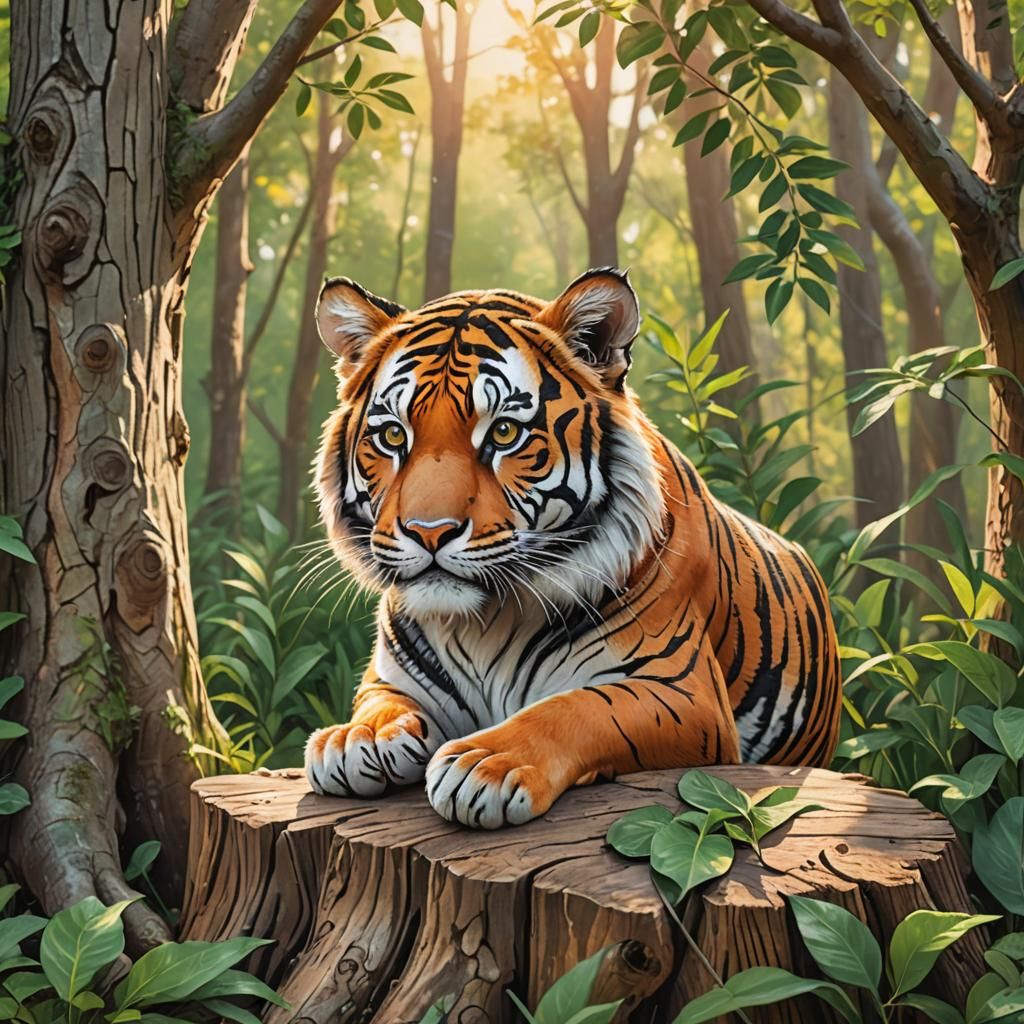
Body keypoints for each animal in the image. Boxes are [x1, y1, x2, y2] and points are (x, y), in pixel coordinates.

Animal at [304, 268, 841, 829]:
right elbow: (380, 704)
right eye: (392, 436)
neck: (483, 624)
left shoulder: (684, 693)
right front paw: (356, 738)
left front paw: (487, 764)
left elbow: (579, 708)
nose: (429, 531)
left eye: (504, 432)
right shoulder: (391, 678)